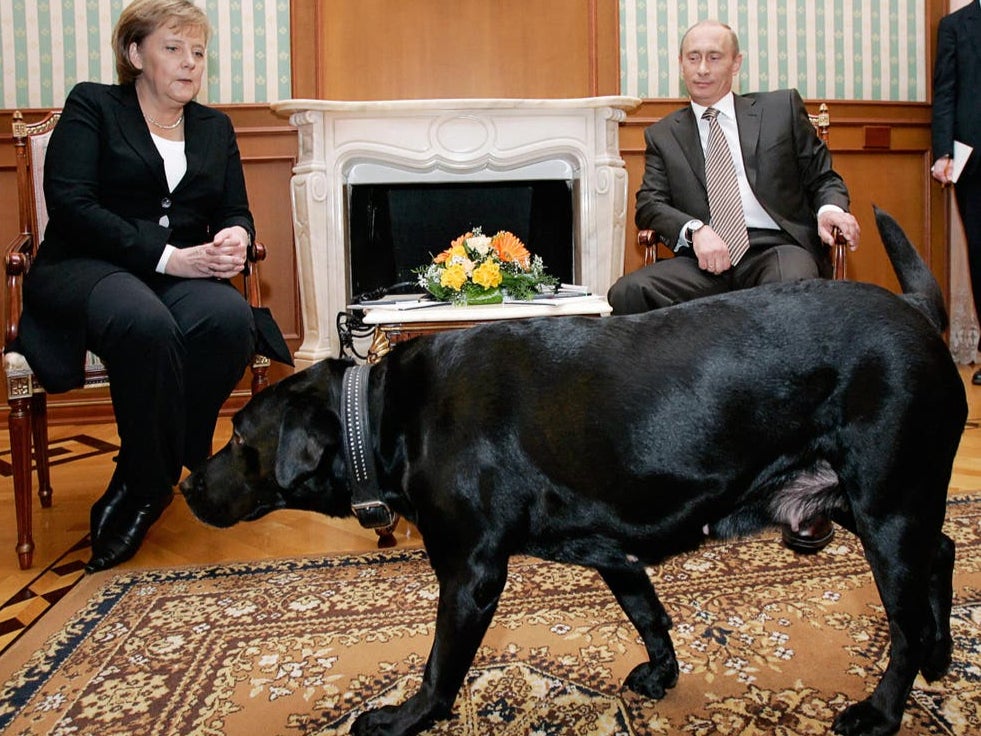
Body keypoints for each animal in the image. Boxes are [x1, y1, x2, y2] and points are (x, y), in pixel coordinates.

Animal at [182, 208, 964, 736]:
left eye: (239, 438)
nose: (188, 483)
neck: (385, 414)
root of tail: (919, 313)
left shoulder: (470, 576)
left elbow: (441, 666)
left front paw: (405, 717)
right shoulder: (611, 550)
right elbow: (647, 614)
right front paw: (663, 672)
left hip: (885, 506)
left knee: (904, 621)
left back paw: (884, 706)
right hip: (858, 501)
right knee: (944, 551)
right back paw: (942, 652)